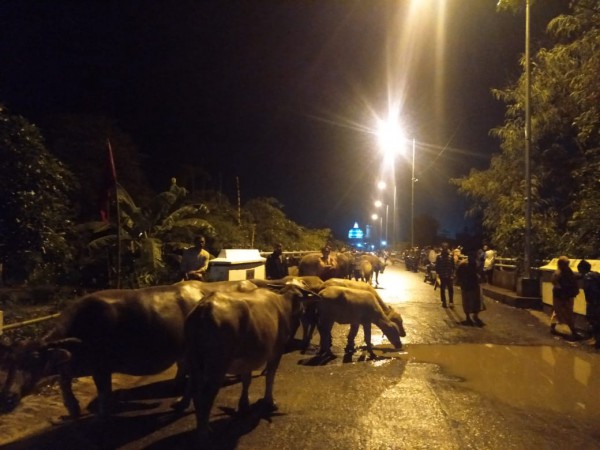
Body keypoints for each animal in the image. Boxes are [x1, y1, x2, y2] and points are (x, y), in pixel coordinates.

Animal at [0, 280, 255, 416]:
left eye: (34, 360)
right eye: (9, 362)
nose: (8, 397)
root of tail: (204, 294)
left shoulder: (101, 368)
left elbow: (103, 394)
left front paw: (102, 414)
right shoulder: (73, 365)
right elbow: (64, 382)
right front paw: (73, 408)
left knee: (193, 379)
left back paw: (183, 403)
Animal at [179, 280, 314, 438]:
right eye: (301, 297)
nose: (304, 311)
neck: (284, 304)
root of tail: (204, 308)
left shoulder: (247, 359)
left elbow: (246, 380)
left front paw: (244, 405)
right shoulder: (276, 352)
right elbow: (270, 376)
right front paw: (270, 401)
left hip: (195, 361)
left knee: (195, 390)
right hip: (217, 366)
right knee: (206, 395)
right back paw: (204, 430)